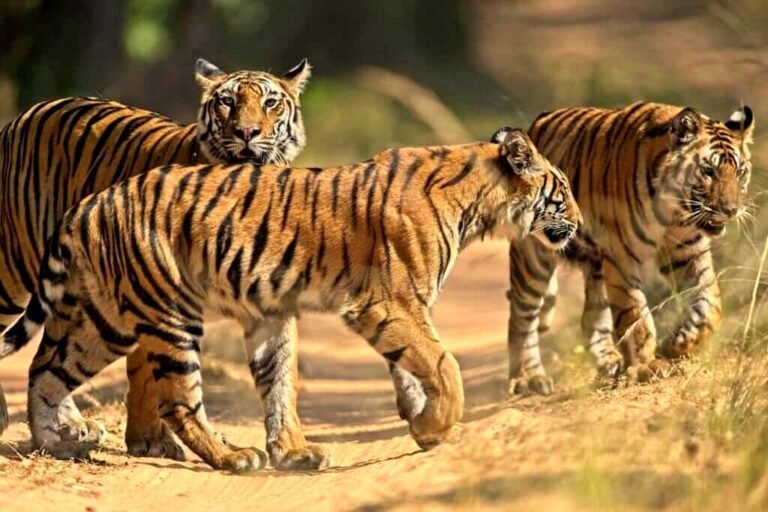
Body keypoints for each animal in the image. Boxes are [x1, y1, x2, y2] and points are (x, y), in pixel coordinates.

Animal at [0, 58, 312, 456]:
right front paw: (151, 441)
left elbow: (281, 372)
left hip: (71, 292)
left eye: (271, 103)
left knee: (47, 359)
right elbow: (148, 373)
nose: (246, 132)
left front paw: (292, 447)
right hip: (14, 268)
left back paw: (68, 430)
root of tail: (25, 115)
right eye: (227, 102)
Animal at [0, 128, 581, 472]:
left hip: (104, 318)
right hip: (168, 313)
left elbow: (411, 368)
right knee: (177, 400)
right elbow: (443, 363)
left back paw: (60, 444)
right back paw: (234, 457)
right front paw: (438, 426)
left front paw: (420, 424)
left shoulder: (401, 307)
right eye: (564, 189)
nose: (578, 223)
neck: (479, 205)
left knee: (45, 370)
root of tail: (91, 202)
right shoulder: (387, 302)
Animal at [506, 102, 754, 395]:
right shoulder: (621, 257)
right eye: (708, 171)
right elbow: (634, 314)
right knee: (521, 320)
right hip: (534, 259)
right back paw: (528, 379)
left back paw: (610, 363)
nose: (732, 210)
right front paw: (647, 365)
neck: (675, 212)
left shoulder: (688, 251)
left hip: (596, 265)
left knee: (591, 318)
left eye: (740, 172)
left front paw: (679, 344)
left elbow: (711, 303)